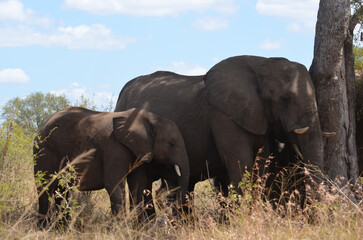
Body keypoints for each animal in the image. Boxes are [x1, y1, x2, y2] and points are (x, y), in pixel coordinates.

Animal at [34, 106, 191, 227]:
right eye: (172, 143)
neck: (148, 118)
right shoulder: (114, 146)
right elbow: (113, 183)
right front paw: (120, 228)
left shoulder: (137, 149)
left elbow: (137, 183)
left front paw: (137, 228)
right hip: (44, 149)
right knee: (46, 188)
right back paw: (43, 228)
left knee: (62, 191)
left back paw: (62, 228)